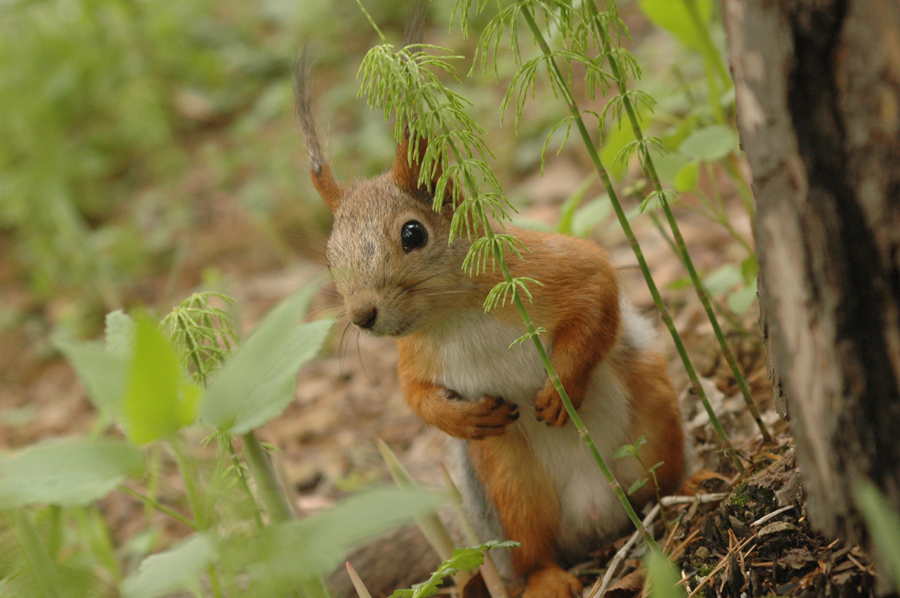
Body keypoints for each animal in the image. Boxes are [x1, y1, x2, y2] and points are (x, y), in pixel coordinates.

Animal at [296, 55, 684, 598]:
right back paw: (546, 579)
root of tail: (598, 515)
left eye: (412, 233)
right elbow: (414, 395)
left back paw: (697, 485)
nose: (362, 316)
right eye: (330, 259)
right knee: (532, 550)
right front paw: (458, 419)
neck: (457, 315)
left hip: (652, 415)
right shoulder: (415, 354)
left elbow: (596, 291)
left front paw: (561, 386)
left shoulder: (547, 268)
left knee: (664, 481)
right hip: (508, 480)